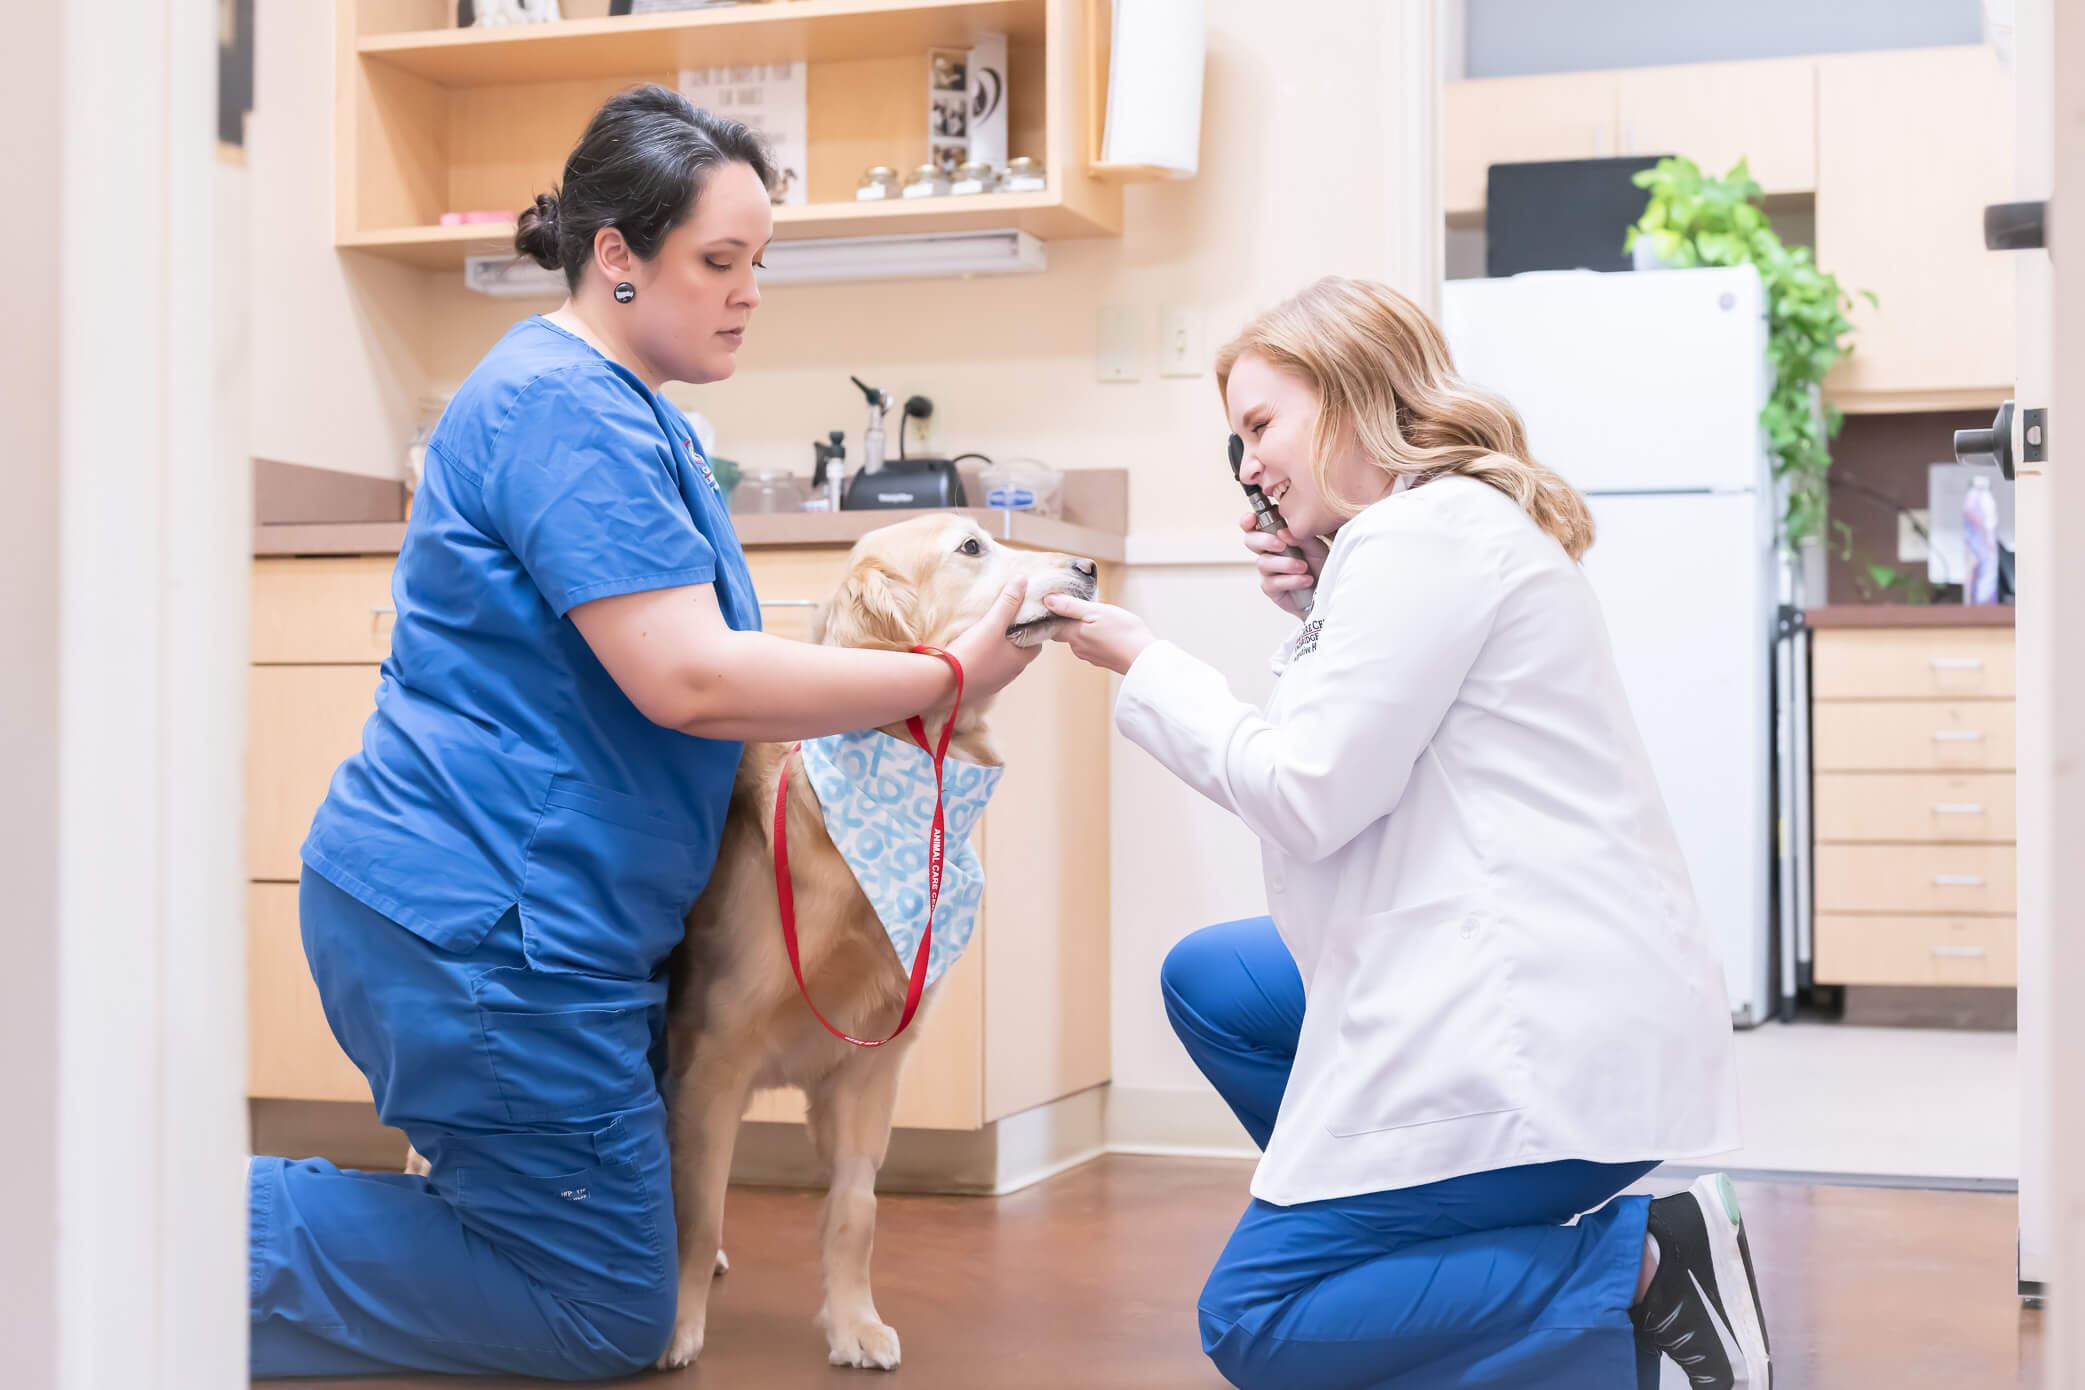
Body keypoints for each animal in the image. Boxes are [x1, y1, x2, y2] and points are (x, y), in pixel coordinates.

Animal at [658, 514, 1100, 1367]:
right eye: (971, 548)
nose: (1091, 566)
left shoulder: (869, 1068)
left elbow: (854, 1210)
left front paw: (854, 1324)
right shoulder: (714, 1059)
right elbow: (697, 1210)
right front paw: (674, 1327)